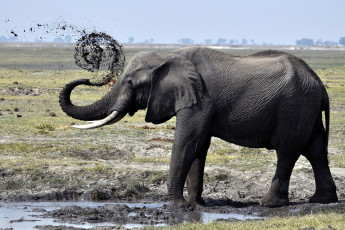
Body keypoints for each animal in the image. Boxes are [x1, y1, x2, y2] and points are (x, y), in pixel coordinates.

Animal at [58, 46, 336, 208]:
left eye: (130, 82)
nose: (89, 78)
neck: (169, 54)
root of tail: (320, 86)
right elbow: (199, 146)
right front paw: (196, 205)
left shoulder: (200, 99)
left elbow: (187, 142)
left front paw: (177, 206)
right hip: (305, 108)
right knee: (316, 151)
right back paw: (322, 200)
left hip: (294, 107)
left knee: (287, 151)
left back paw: (268, 204)